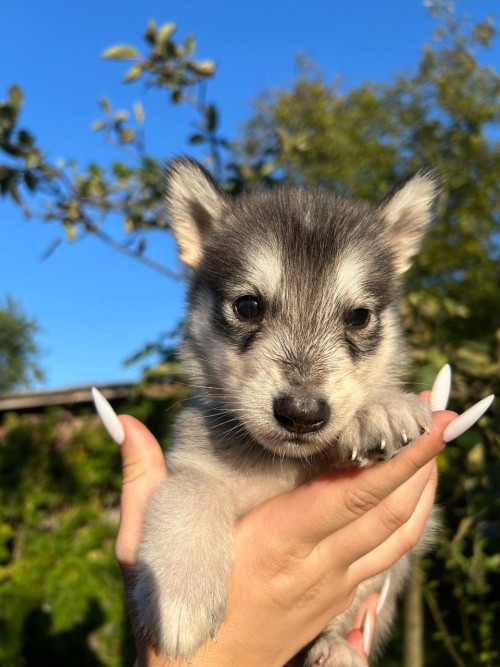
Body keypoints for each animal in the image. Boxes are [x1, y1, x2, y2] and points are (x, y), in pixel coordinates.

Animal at [135, 158, 440, 667]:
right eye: (247, 305)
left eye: (358, 317)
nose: (301, 413)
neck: (282, 465)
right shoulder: (188, 463)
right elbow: (192, 492)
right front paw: (180, 595)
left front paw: (379, 407)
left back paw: (336, 648)